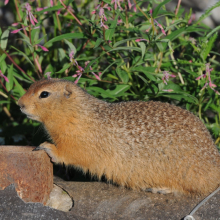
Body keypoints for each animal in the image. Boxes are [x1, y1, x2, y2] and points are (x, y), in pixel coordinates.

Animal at [18, 79, 220, 196]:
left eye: (44, 94)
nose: (19, 104)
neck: (77, 113)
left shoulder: (80, 142)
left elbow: (72, 154)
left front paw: (47, 147)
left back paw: (160, 188)